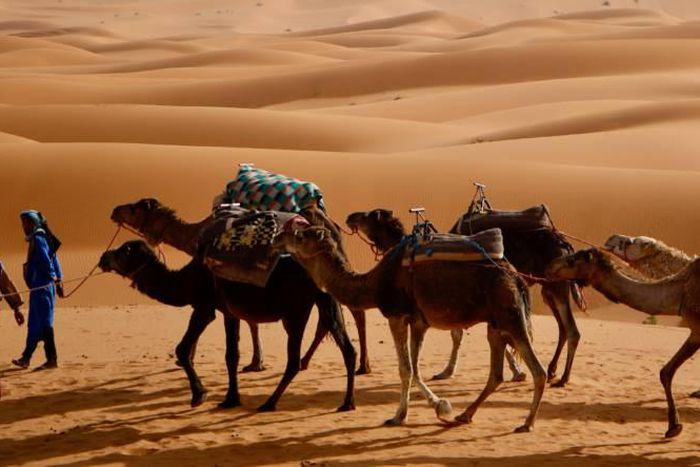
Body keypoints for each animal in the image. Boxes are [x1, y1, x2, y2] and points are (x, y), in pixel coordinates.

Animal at [99, 240, 356, 412]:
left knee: (293, 360)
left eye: (125, 250)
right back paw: (347, 403)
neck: (187, 279)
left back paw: (269, 403)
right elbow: (231, 355)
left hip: (295, 311)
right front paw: (231, 399)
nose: (103, 257)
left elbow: (182, 349)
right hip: (325, 298)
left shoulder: (205, 306)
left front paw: (199, 395)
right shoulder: (228, 312)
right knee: (347, 348)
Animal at [111, 198, 373, 375]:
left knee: (350, 313)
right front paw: (257, 362)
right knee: (336, 317)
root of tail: (327, 223)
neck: (195, 234)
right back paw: (335, 363)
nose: (114, 211)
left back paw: (356, 365)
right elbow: (251, 321)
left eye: (133, 207)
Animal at [274, 225, 547, 432]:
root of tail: (516, 276)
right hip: (495, 324)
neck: (373, 283)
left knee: (538, 371)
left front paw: (400, 416)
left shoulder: (396, 315)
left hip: (510, 316)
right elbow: (414, 369)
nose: (277, 237)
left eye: (301, 236)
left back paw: (527, 423)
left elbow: (405, 369)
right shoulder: (418, 321)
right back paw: (465, 415)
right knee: (496, 374)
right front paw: (437, 407)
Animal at [450, 207, 584, 387]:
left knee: (571, 330)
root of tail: (566, 245)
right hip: (548, 289)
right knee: (562, 327)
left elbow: (457, 332)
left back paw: (563, 378)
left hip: (557, 286)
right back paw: (552, 371)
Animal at [546, 248, 700, 438]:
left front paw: (674, 426)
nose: (549, 266)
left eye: (572, 260)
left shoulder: (697, 331)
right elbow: (667, 372)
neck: (680, 291)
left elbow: (666, 372)